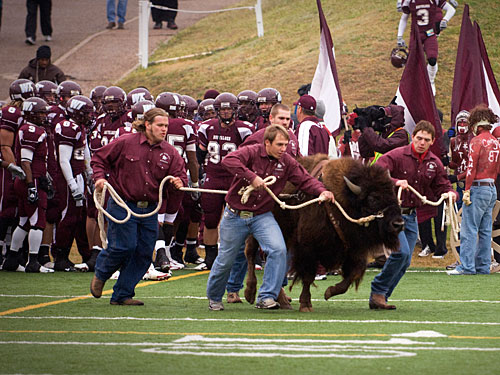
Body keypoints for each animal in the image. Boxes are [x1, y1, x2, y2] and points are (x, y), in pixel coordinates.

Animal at [244, 154, 404, 312]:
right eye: (373, 198)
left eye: (393, 194)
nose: (398, 224)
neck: (342, 199)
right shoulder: (308, 248)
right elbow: (308, 276)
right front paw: (306, 304)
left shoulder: (354, 249)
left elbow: (353, 274)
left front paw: (329, 292)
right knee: (251, 253)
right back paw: (250, 294)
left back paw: (282, 301)